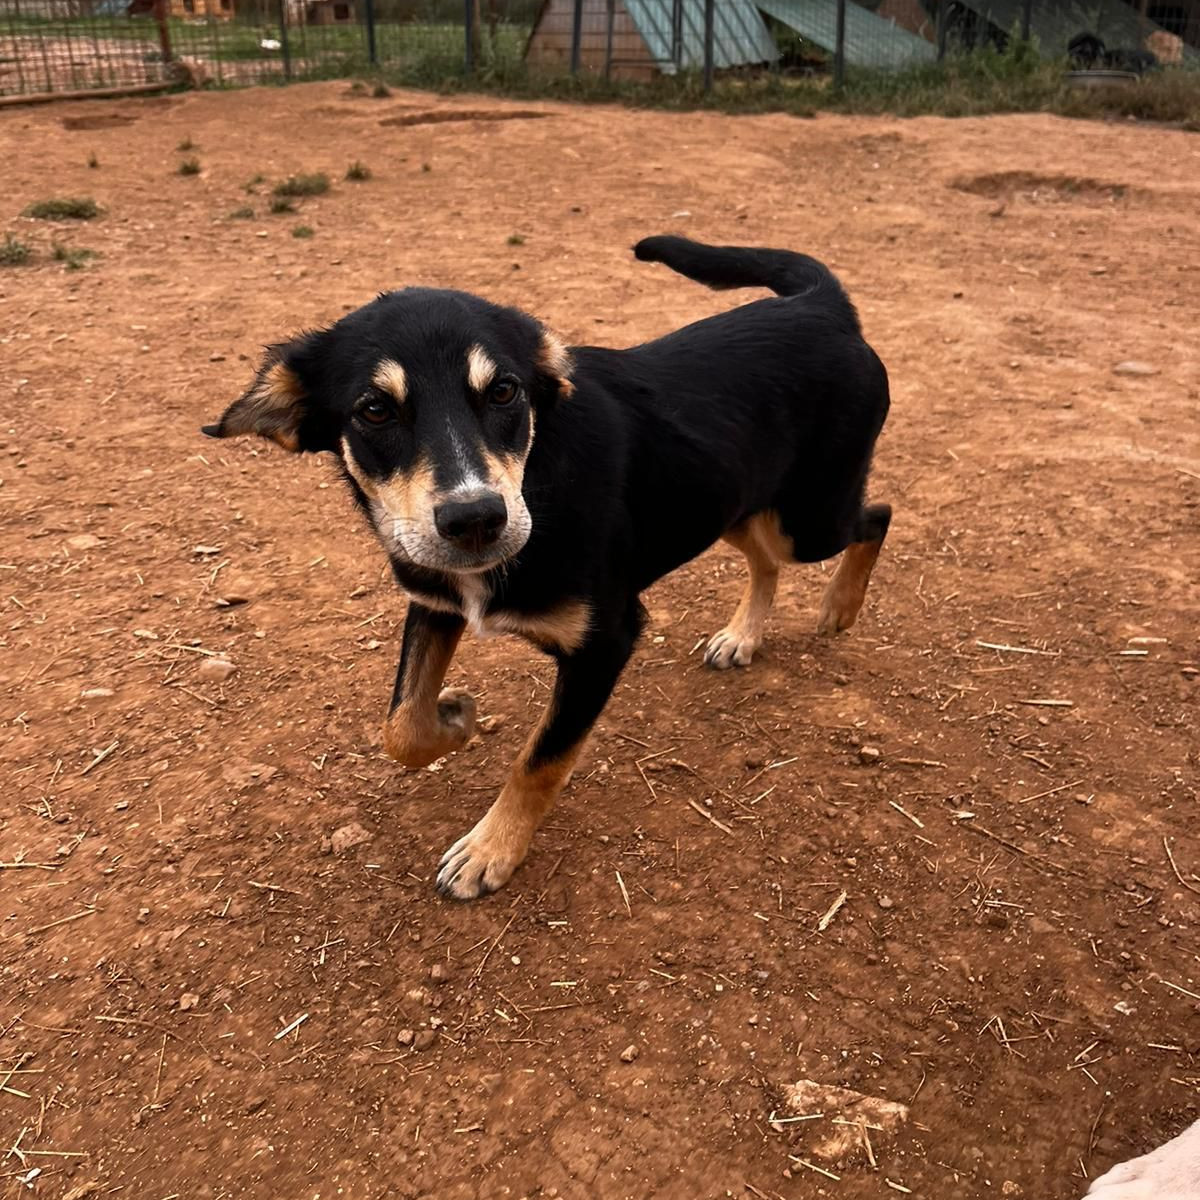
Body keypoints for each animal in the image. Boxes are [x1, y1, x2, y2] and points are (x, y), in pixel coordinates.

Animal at [203, 236, 892, 900]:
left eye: (504, 391)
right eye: (374, 410)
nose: (476, 519)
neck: (539, 477)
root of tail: (818, 306)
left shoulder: (604, 643)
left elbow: (539, 761)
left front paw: (490, 852)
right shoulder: (433, 601)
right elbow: (401, 726)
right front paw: (454, 719)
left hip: (809, 519)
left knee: (875, 516)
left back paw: (840, 607)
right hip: (735, 503)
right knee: (766, 559)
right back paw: (742, 635)